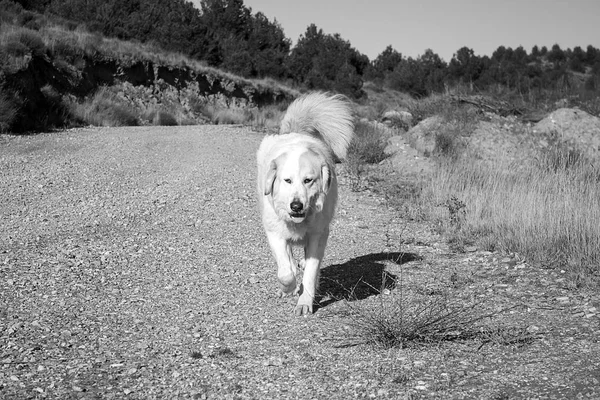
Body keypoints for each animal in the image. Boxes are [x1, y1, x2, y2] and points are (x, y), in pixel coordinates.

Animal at [255, 91, 354, 316]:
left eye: (309, 180)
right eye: (287, 180)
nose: (296, 206)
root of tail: (296, 133)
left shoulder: (317, 236)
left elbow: (310, 271)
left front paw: (305, 302)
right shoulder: (275, 234)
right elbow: (285, 272)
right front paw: (288, 288)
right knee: (289, 261)